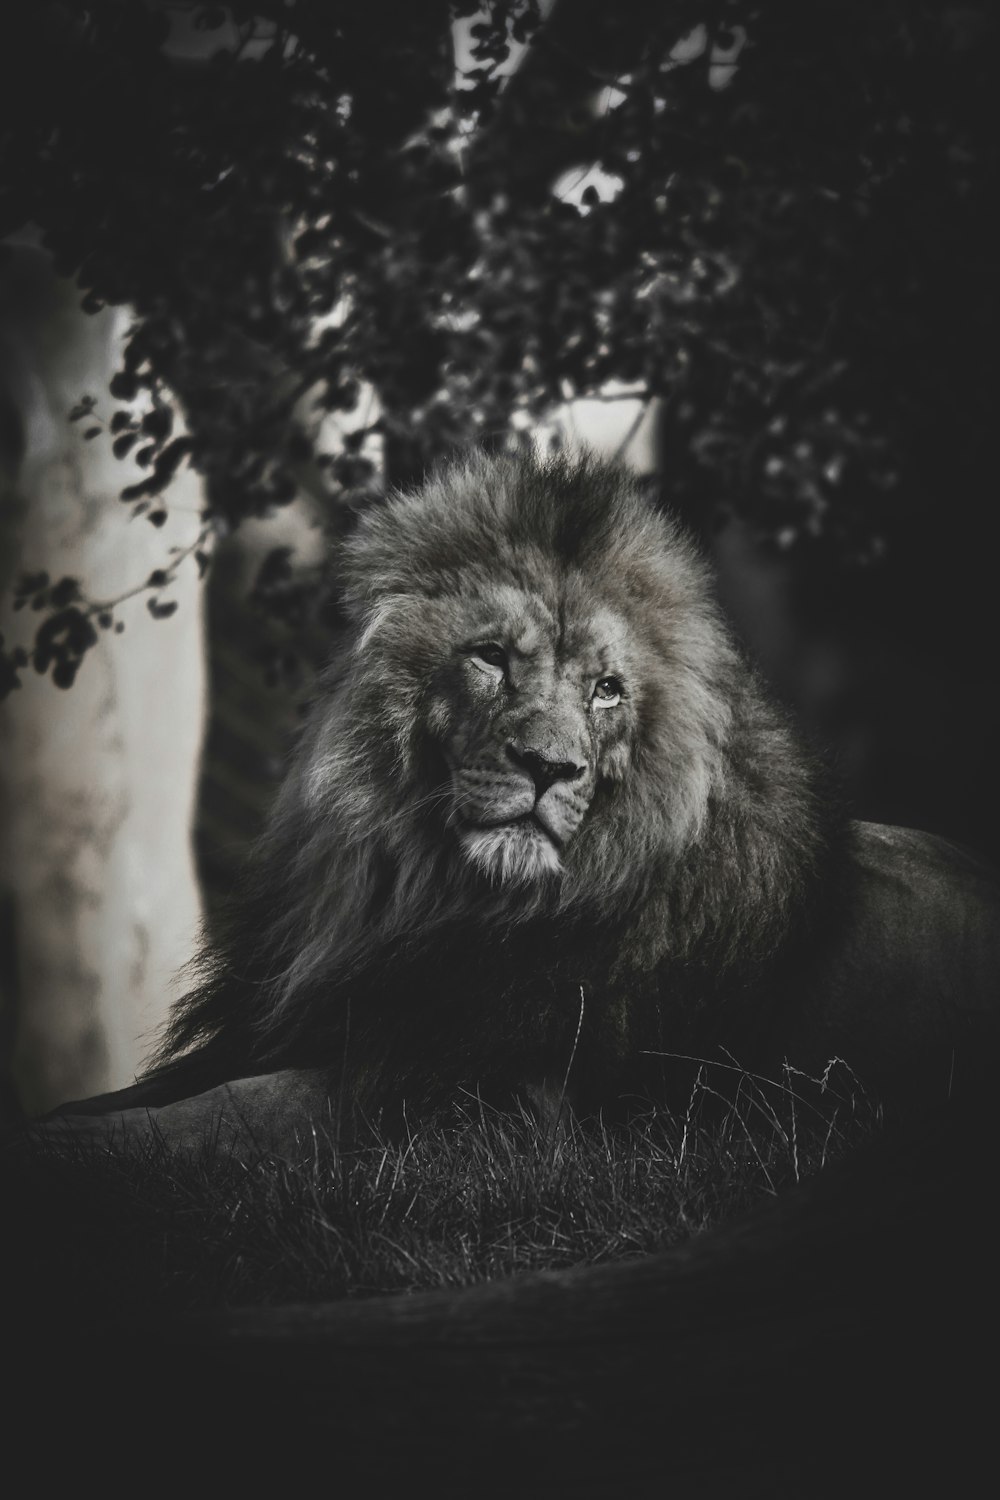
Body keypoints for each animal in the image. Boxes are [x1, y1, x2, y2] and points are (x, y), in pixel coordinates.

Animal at [27, 444, 1000, 1146]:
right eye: (491, 657)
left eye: (606, 690)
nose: (549, 767)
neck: (432, 898)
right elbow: (161, 1095)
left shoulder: (482, 1103)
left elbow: (224, 1113)